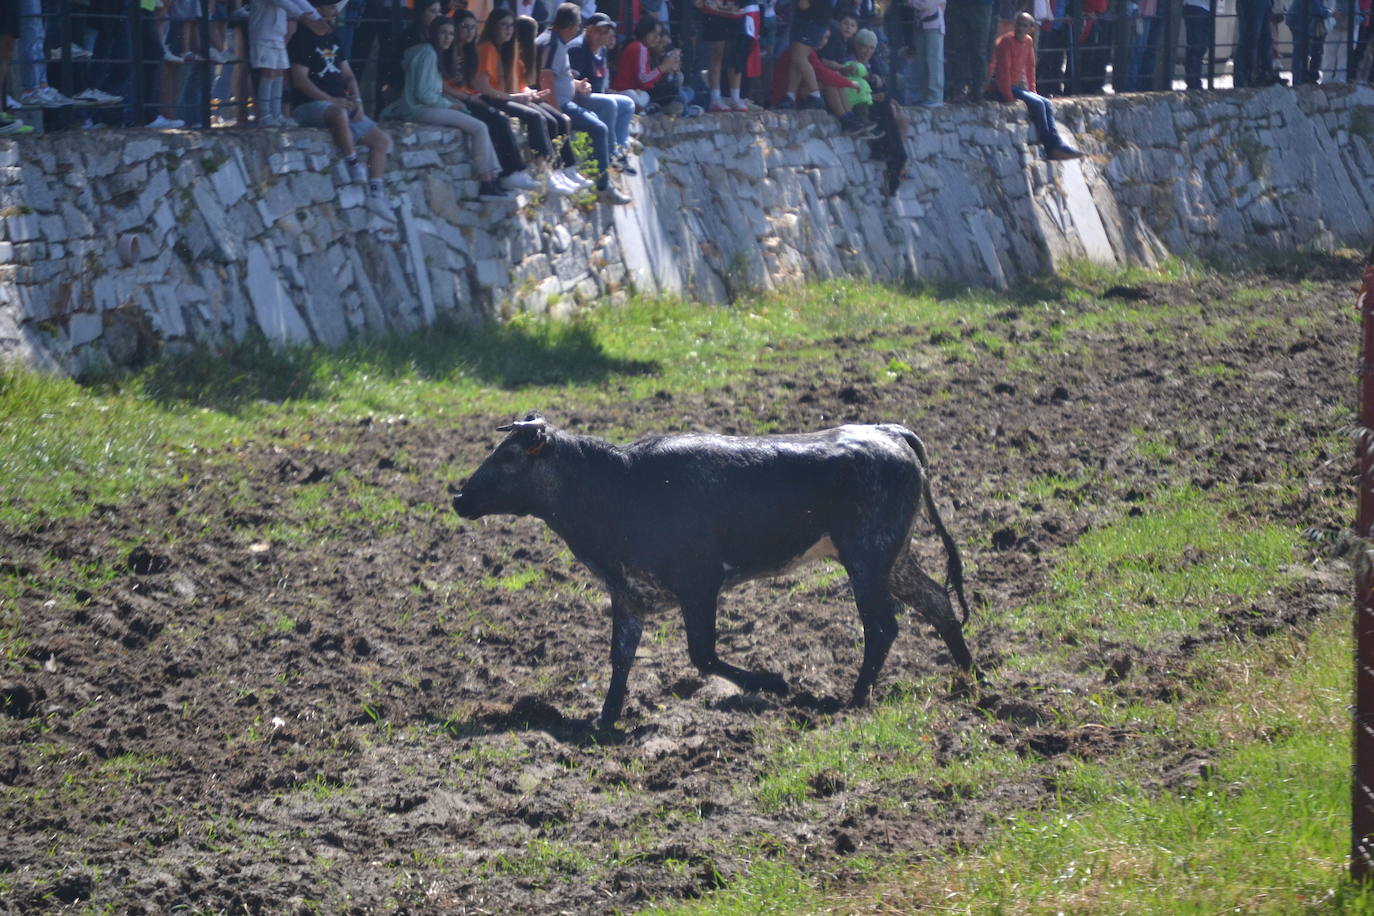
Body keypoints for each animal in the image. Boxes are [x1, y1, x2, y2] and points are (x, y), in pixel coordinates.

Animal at [456, 414, 972, 730]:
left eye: (508, 456)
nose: (460, 497)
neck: (619, 485)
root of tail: (889, 433)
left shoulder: (699, 584)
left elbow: (702, 655)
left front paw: (773, 682)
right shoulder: (628, 593)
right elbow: (621, 658)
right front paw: (604, 720)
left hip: (866, 557)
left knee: (882, 625)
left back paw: (857, 697)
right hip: (892, 557)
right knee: (937, 602)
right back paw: (969, 678)